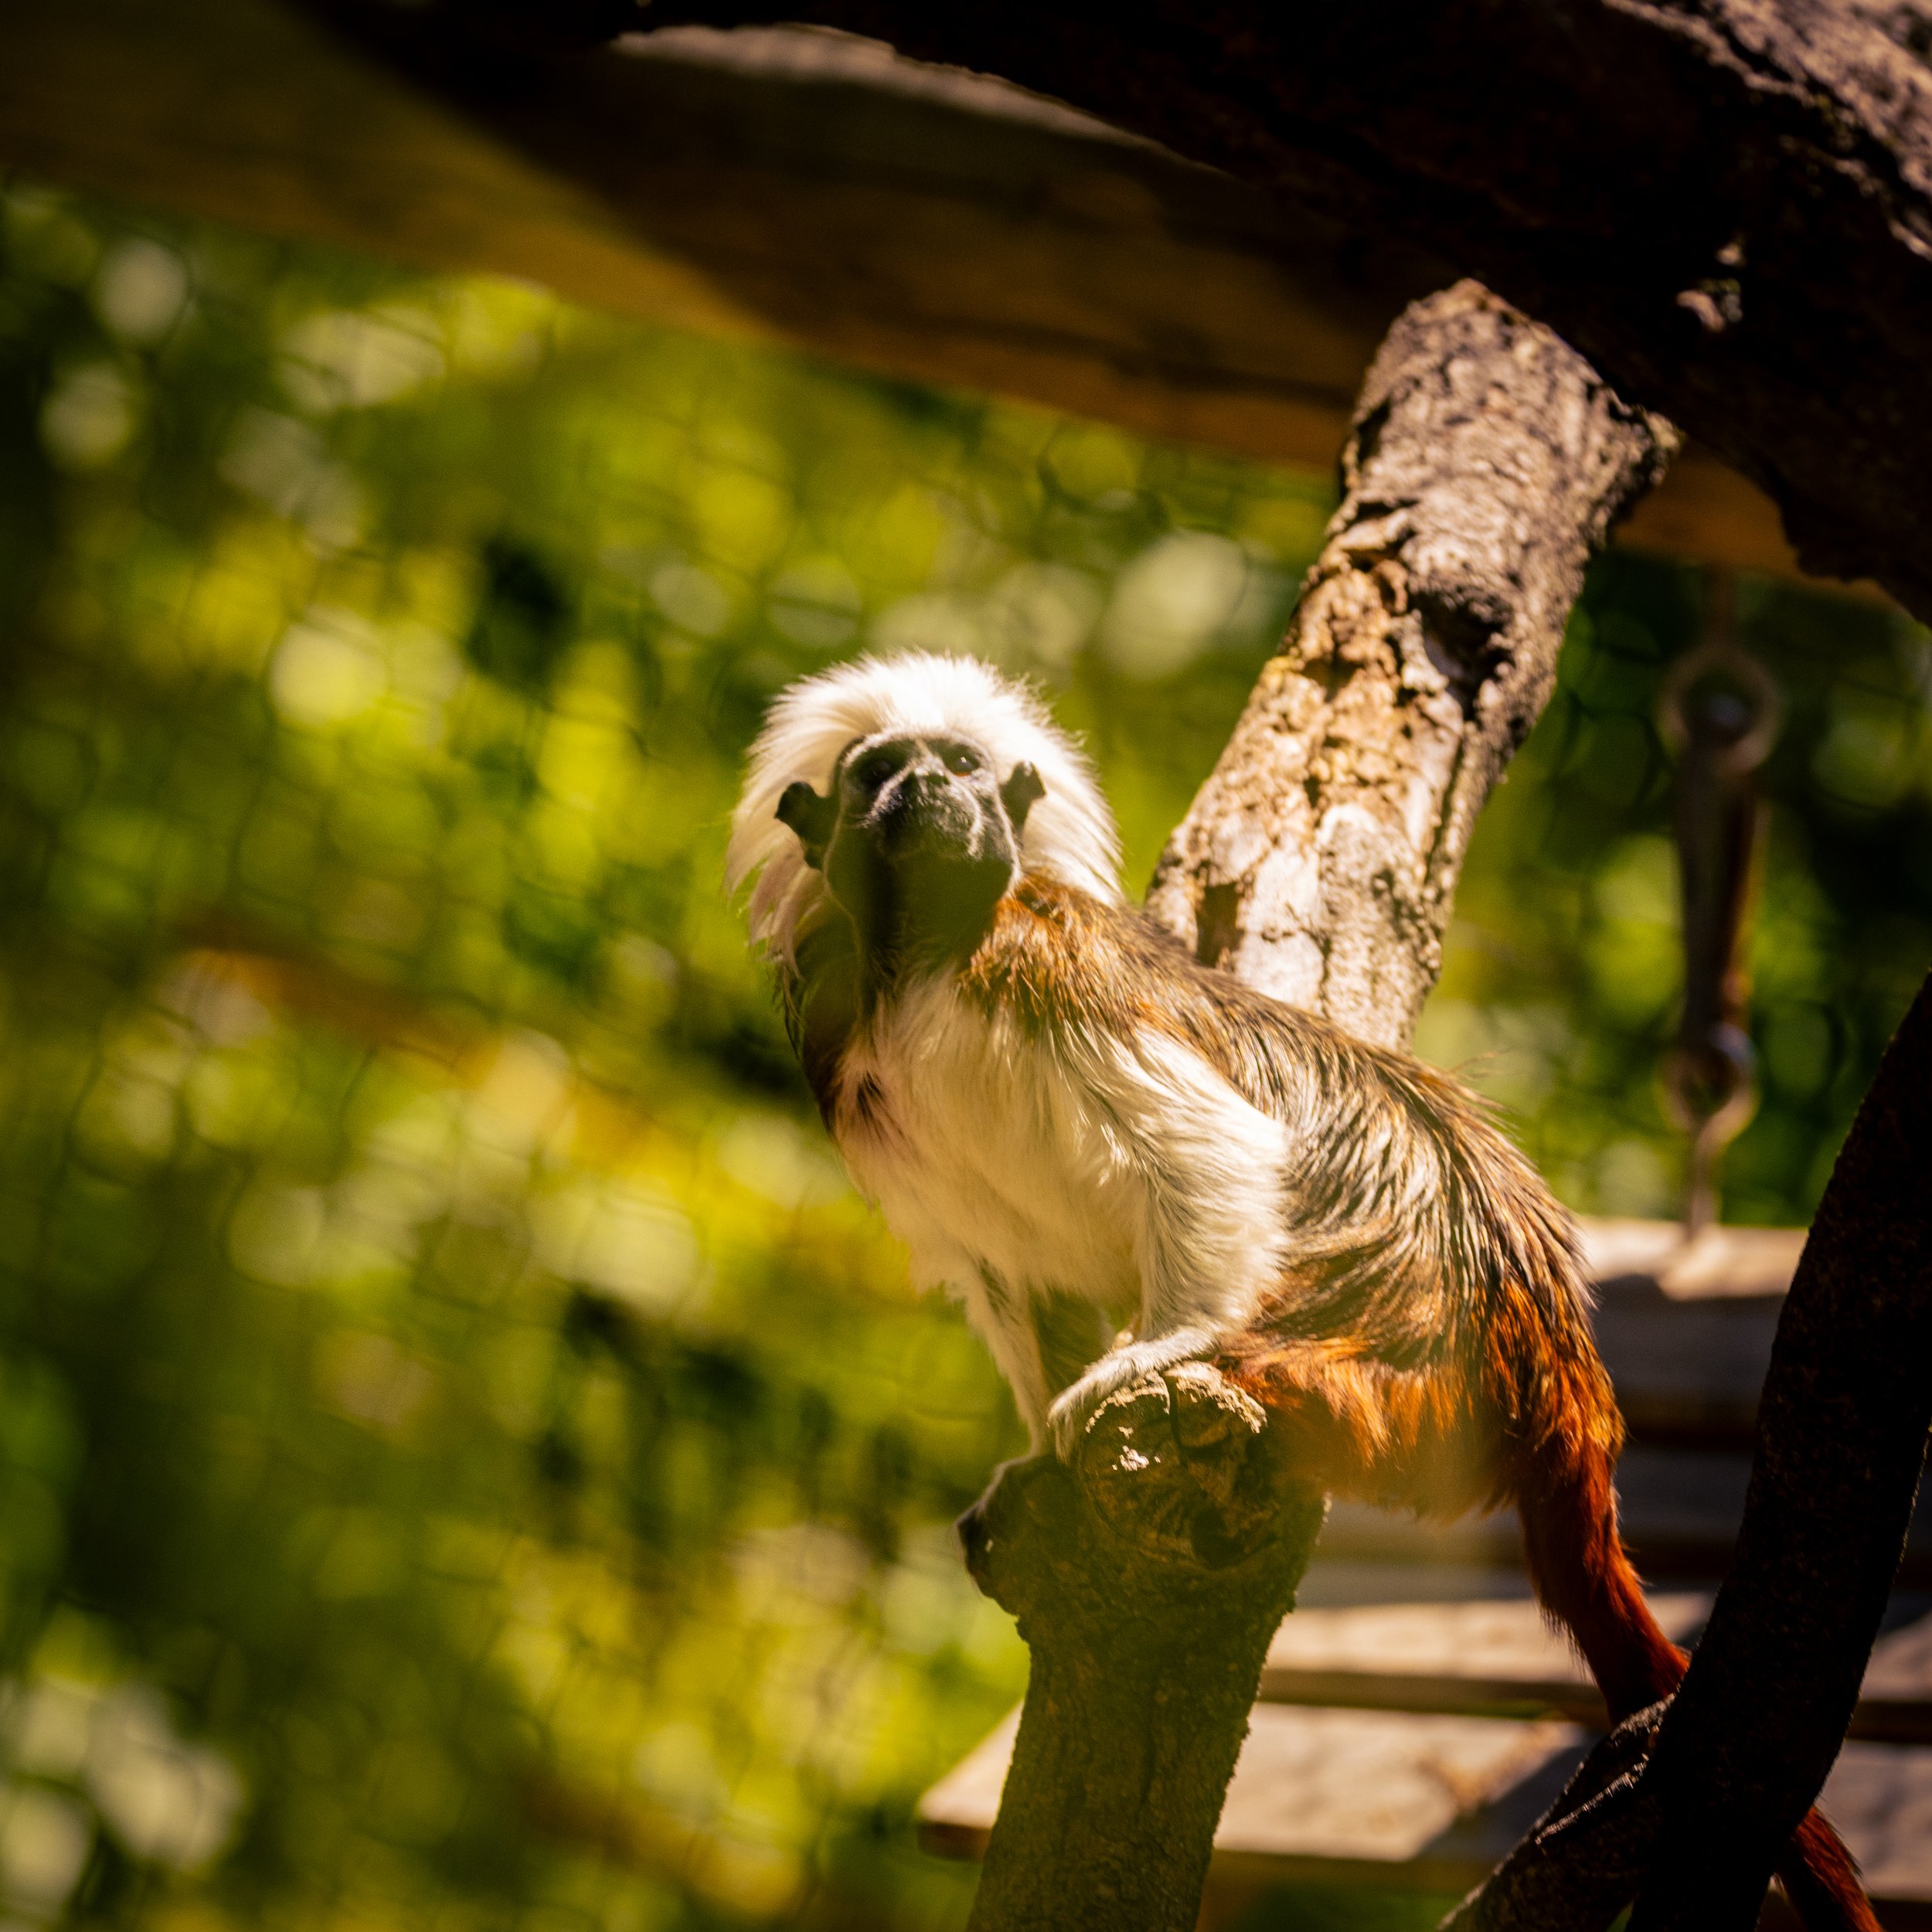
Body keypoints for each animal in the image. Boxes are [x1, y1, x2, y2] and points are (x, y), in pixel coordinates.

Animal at [729, 651, 1875, 1931]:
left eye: (964, 767)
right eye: (882, 771)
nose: (930, 792)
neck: (923, 962)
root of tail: (1552, 1356)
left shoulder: (1041, 962)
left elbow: (1213, 1146)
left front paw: (1155, 1354)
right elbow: (1010, 1275)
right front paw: (1032, 1457)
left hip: (1414, 1402)